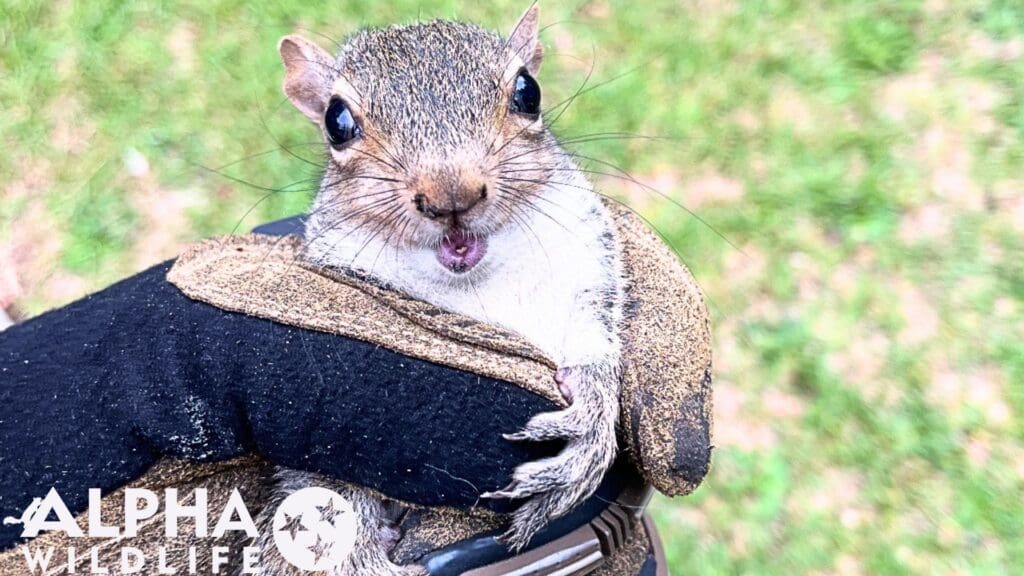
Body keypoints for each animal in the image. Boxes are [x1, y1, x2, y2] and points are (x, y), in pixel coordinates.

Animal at [252, 5, 627, 574]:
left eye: (528, 91)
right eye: (337, 121)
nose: (451, 193)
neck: (473, 283)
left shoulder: (585, 271)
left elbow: (594, 348)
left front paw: (590, 422)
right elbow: (321, 483)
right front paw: (352, 551)